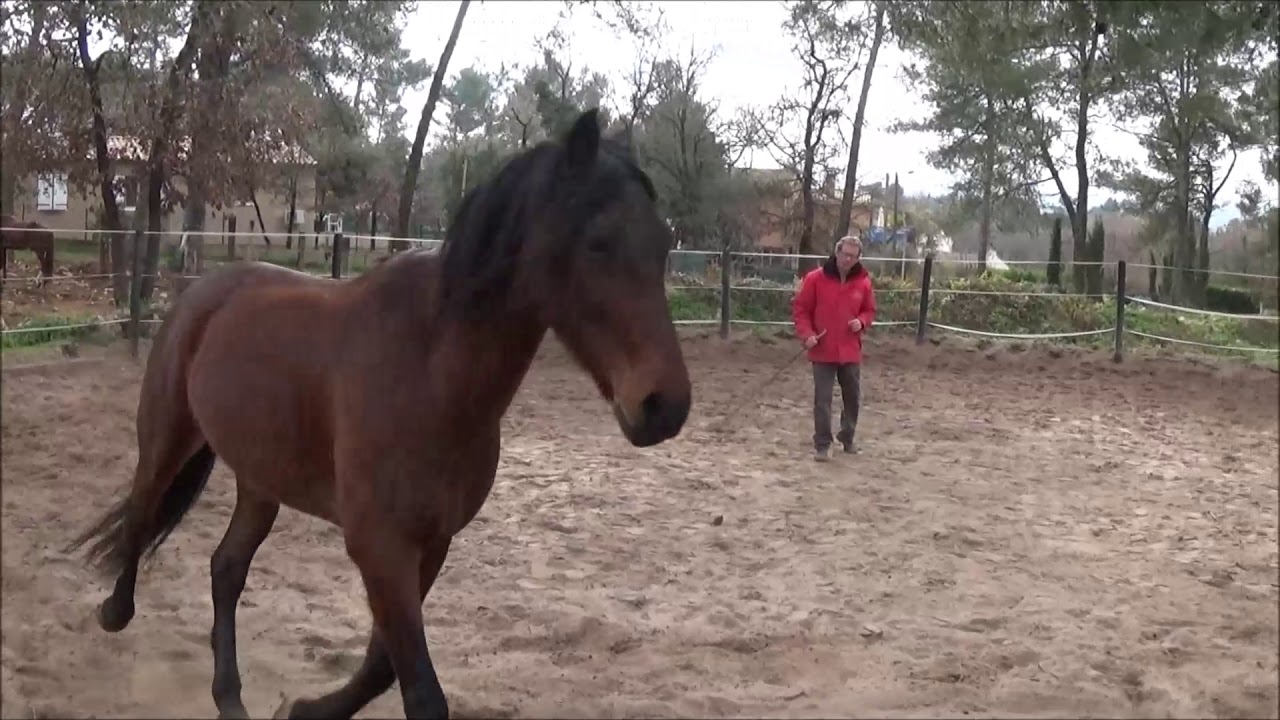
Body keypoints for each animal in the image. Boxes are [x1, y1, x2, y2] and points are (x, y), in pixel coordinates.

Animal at [65, 108, 692, 720]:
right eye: (599, 243)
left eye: (664, 243)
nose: (666, 406)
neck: (432, 375)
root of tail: (204, 290)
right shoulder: (380, 546)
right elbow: (417, 688)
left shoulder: (430, 544)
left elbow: (380, 666)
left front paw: (307, 709)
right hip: (169, 438)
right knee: (142, 515)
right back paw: (114, 613)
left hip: (261, 479)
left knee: (226, 567)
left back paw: (230, 696)